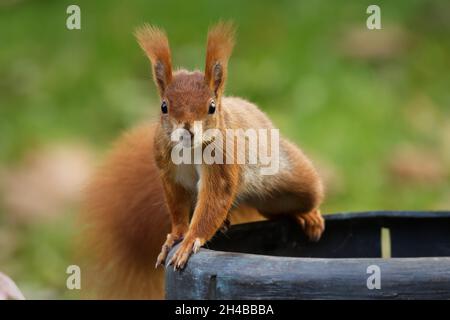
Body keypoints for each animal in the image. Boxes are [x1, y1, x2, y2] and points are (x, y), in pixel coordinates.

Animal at [81, 21, 326, 298]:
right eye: (164, 106)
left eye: (211, 107)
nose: (187, 129)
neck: (189, 149)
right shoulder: (168, 171)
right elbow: (177, 207)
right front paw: (175, 236)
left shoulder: (222, 164)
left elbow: (213, 201)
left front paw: (189, 242)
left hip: (294, 179)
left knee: (302, 197)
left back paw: (309, 216)